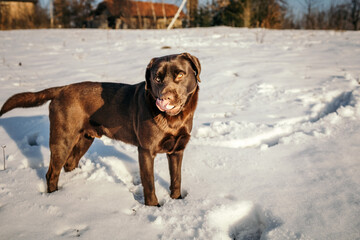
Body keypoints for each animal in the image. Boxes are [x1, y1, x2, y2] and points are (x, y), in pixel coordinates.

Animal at [0, 52, 200, 206]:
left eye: (180, 75)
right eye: (157, 78)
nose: (165, 98)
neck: (174, 120)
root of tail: (61, 89)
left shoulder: (177, 150)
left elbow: (176, 179)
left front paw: (178, 201)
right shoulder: (145, 151)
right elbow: (149, 183)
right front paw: (153, 207)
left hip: (85, 139)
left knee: (69, 164)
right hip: (62, 139)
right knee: (51, 173)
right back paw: (56, 197)